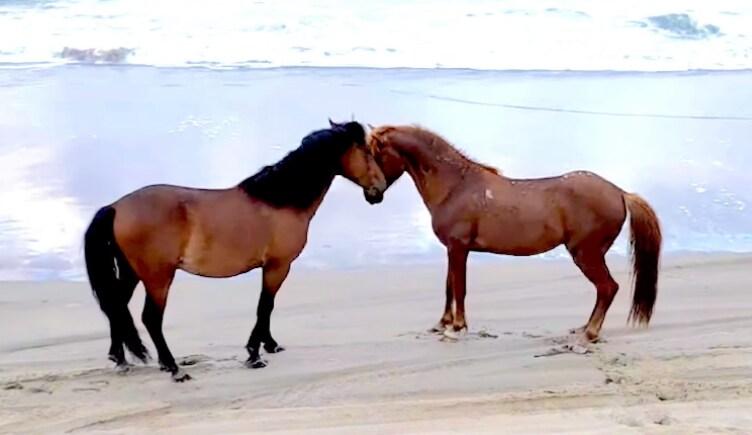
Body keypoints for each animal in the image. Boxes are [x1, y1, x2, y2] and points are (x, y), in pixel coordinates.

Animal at [84, 120, 387, 382]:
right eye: (367, 152)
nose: (379, 189)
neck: (280, 201)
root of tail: (116, 206)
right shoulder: (278, 266)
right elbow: (265, 306)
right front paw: (254, 355)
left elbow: (266, 308)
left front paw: (270, 345)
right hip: (158, 278)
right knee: (150, 318)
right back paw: (173, 368)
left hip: (132, 272)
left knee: (117, 306)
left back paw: (121, 360)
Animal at [367, 124, 661, 343]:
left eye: (375, 155)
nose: (372, 195)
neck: (456, 186)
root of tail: (620, 192)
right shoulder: (453, 249)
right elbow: (449, 286)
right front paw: (443, 324)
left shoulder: (458, 247)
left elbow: (459, 288)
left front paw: (457, 327)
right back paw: (583, 328)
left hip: (585, 254)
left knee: (607, 287)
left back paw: (589, 334)